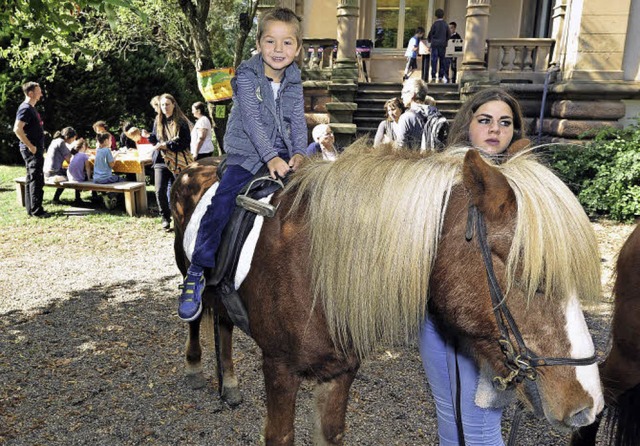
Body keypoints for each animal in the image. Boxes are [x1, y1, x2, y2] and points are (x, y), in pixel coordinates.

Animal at [172, 145, 604, 444]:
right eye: (535, 277)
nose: (589, 406)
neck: (316, 268)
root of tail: (194, 166)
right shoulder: (278, 369)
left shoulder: (340, 372)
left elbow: (330, 432)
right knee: (196, 317)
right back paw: (194, 366)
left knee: (223, 323)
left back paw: (229, 383)